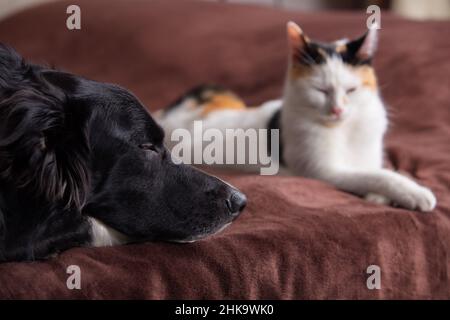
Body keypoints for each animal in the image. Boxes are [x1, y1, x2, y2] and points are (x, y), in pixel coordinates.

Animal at [157, 21, 436, 211]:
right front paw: (415, 193)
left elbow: (377, 169)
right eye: (321, 90)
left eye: (351, 90)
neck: (346, 130)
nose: (337, 110)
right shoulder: (324, 171)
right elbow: (378, 176)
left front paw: (384, 196)